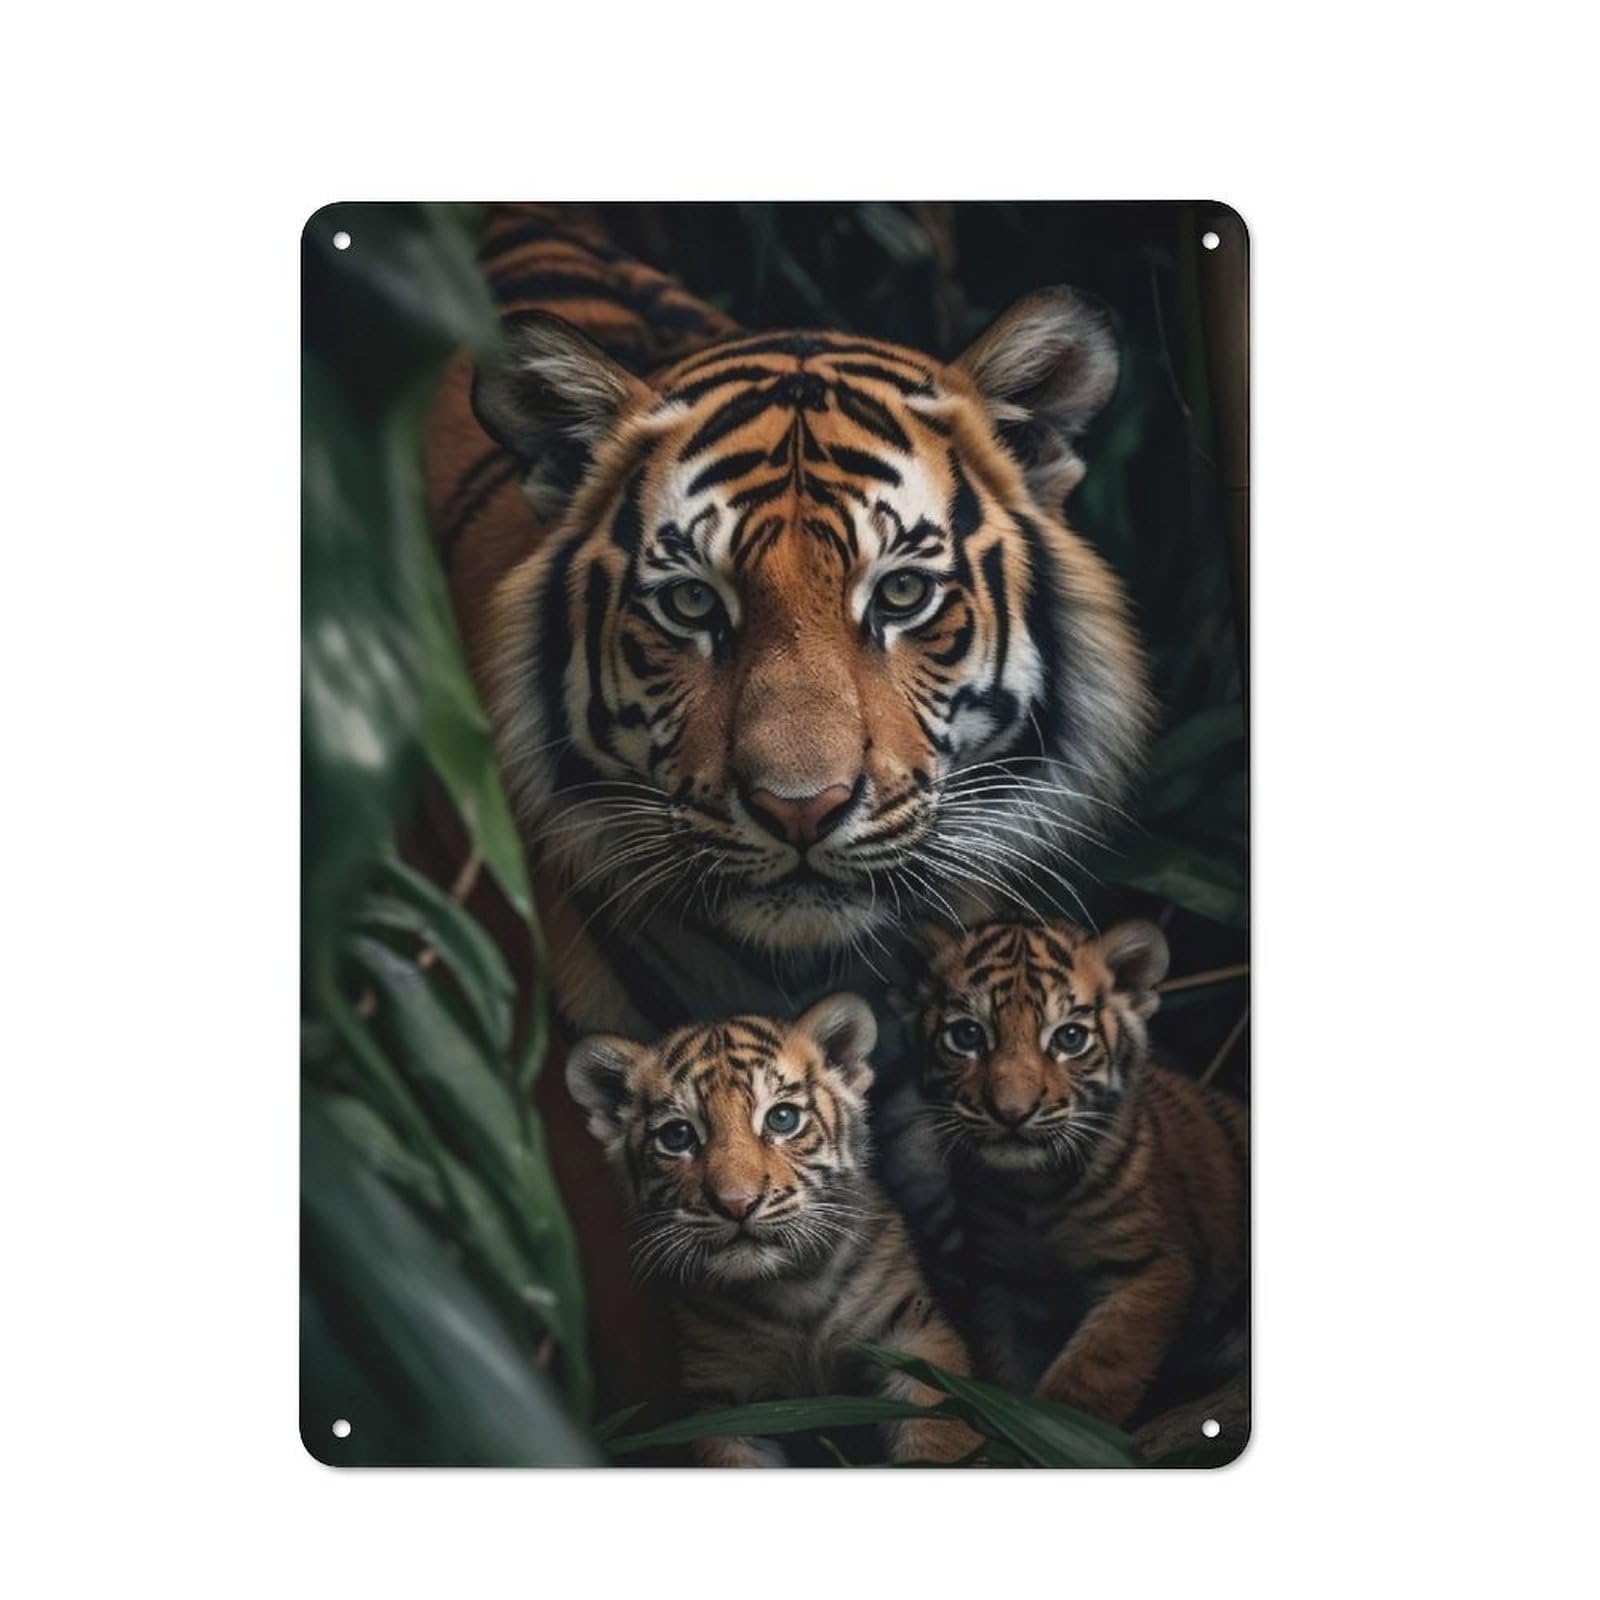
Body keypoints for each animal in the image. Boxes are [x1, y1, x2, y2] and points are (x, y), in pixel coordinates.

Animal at [566, 993, 984, 1466]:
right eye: (677, 1136)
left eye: (782, 1119)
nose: (737, 1203)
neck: (791, 1287)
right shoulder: (723, 1395)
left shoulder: (914, 1336)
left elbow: (942, 1436)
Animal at [913, 916, 1248, 1455]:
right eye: (967, 1035)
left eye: (1069, 1038)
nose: (1012, 1112)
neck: (1032, 1190)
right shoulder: (999, 1284)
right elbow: (1006, 1374)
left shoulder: (1153, 1267)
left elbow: (1092, 1373)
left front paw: (1053, 1437)